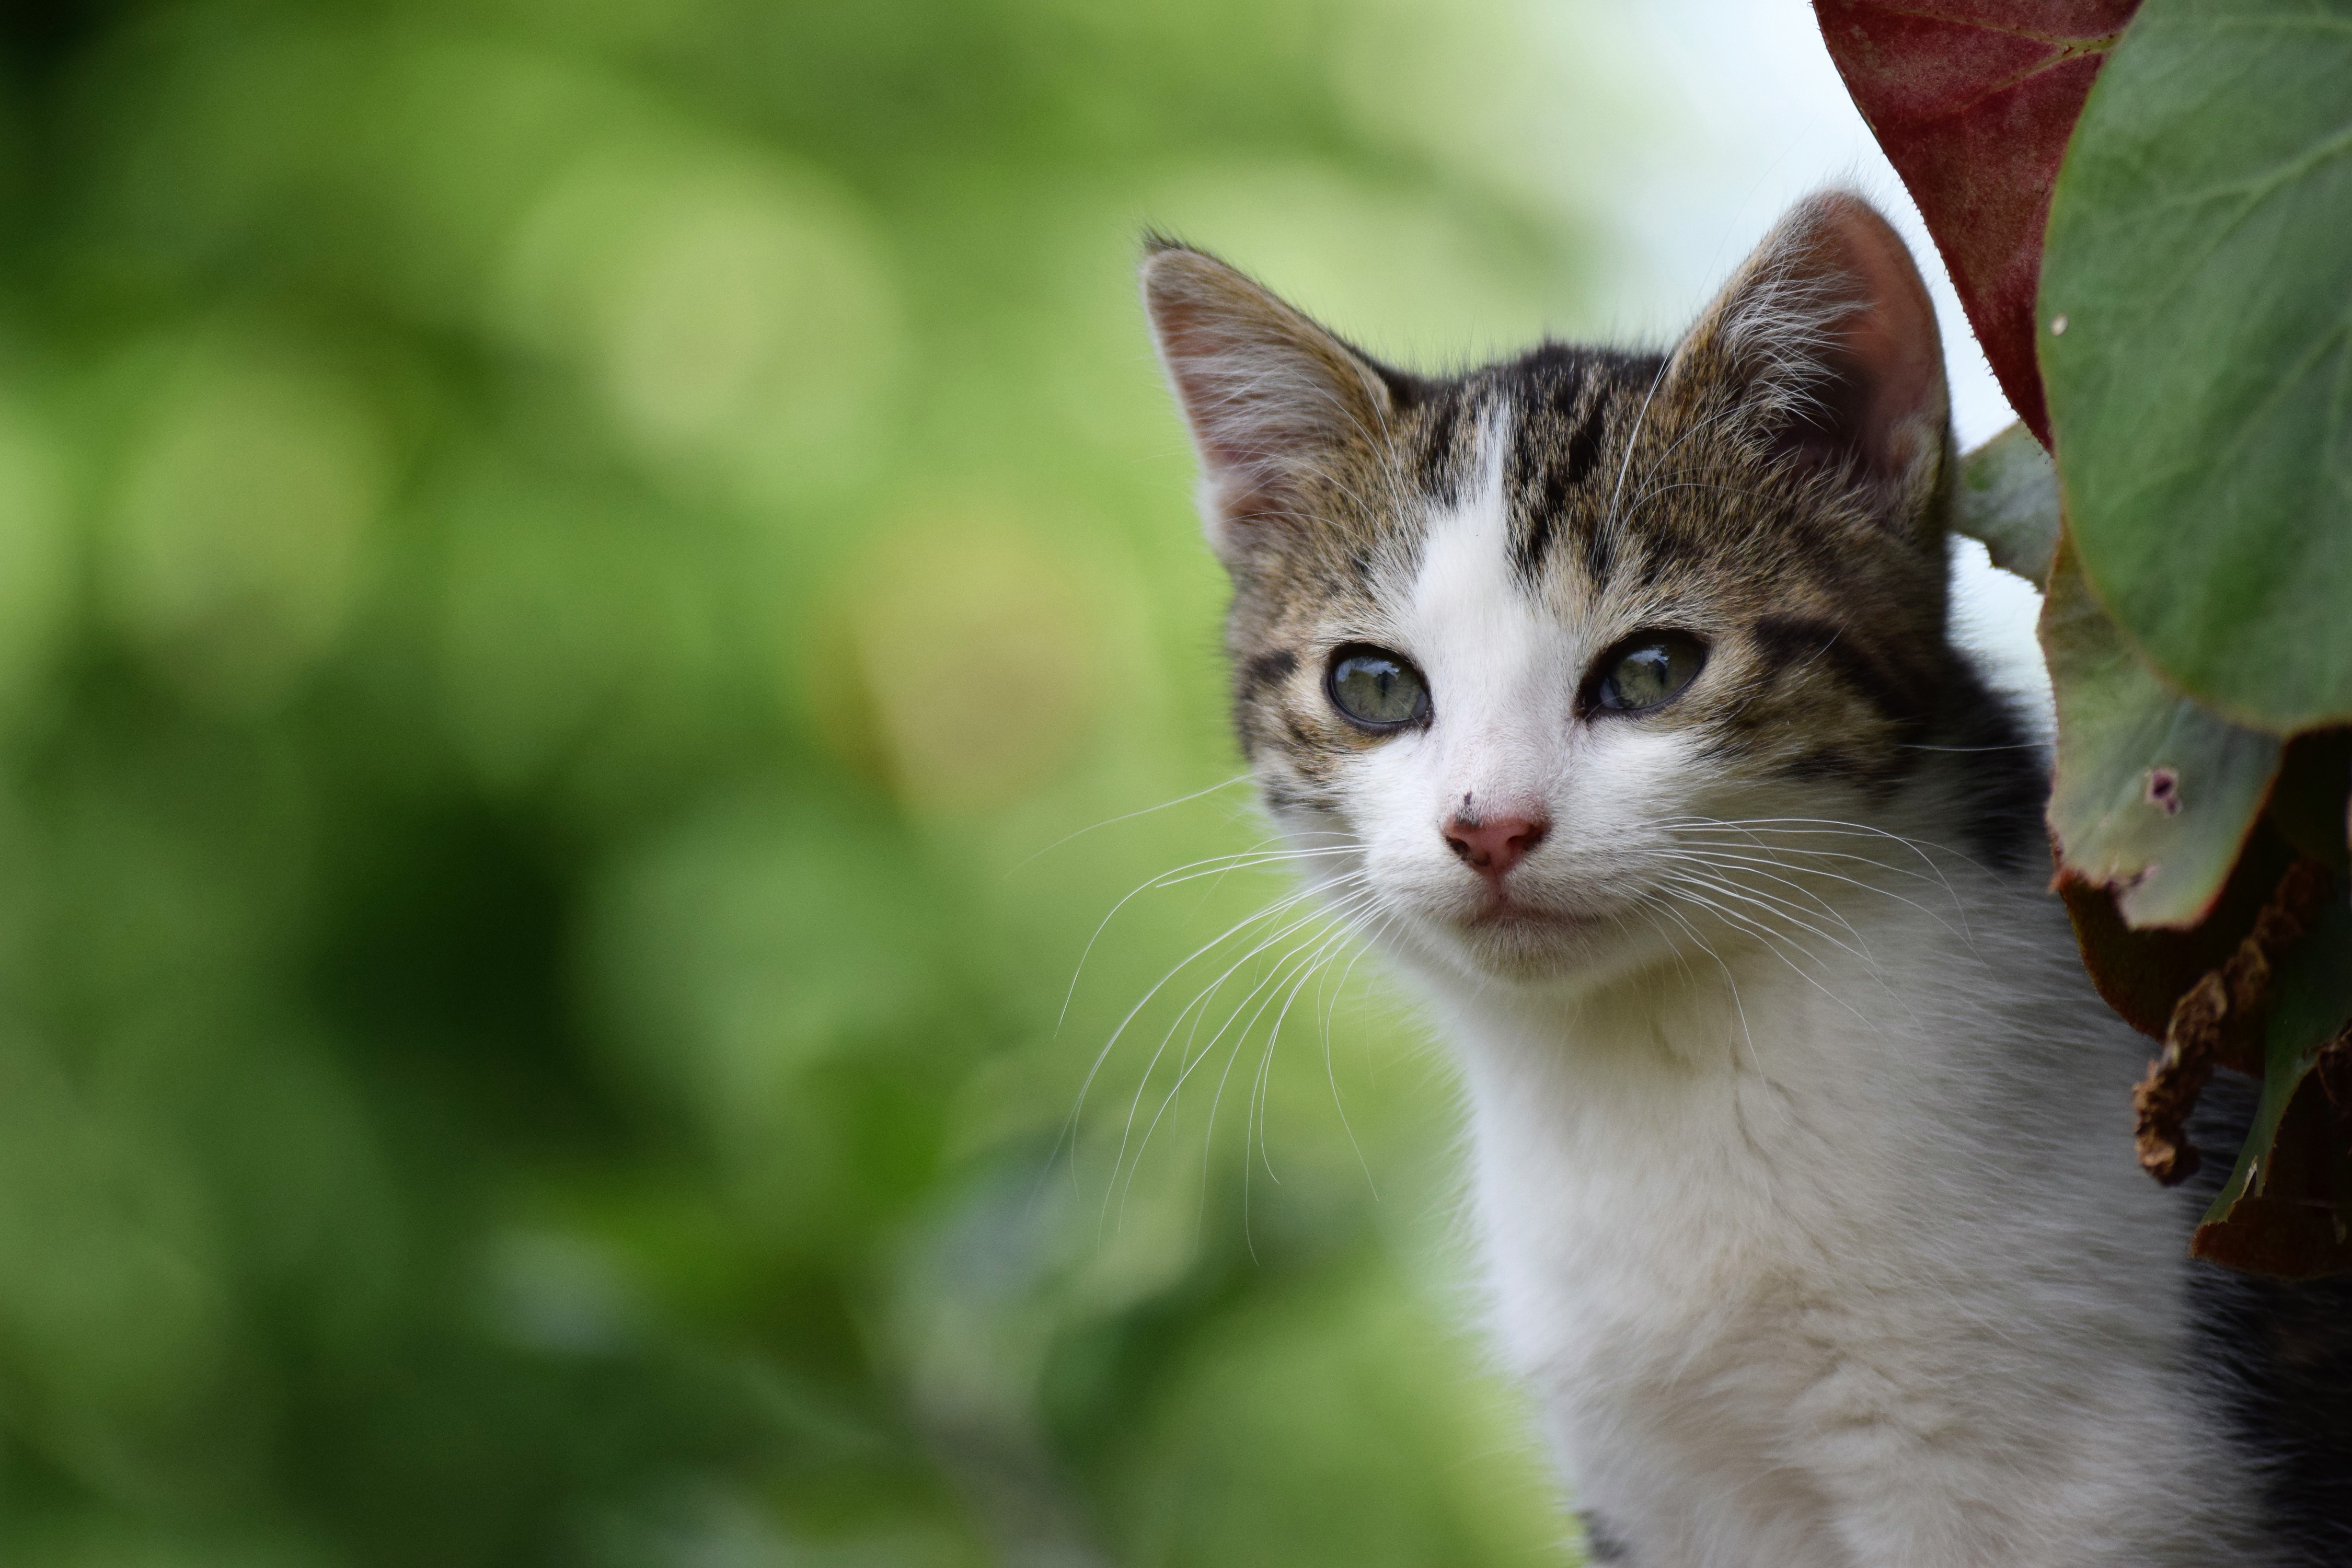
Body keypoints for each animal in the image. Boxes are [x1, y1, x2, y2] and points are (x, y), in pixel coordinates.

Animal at [1138, 196, 2352, 1568]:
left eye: (1650, 670)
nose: (1489, 828)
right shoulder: (1662, 1493)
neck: (1658, 1065)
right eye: (1373, 686)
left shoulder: (2047, 1472)